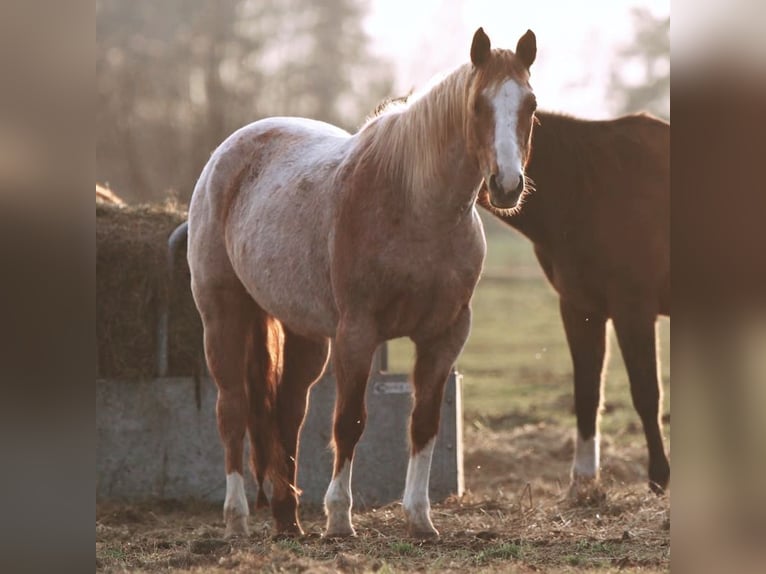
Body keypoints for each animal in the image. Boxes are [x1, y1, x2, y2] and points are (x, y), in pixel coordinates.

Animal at [187, 27, 539, 538]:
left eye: (530, 104)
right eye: (478, 105)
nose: (507, 185)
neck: (416, 207)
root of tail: (226, 153)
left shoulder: (445, 335)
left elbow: (424, 422)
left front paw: (420, 518)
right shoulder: (358, 332)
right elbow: (349, 421)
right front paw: (339, 518)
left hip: (305, 333)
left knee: (287, 413)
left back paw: (288, 519)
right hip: (222, 316)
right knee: (231, 410)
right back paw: (237, 520)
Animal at [478, 110, 670, 494]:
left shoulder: (633, 308)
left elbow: (646, 392)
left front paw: (659, 476)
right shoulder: (581, 308)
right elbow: (587, 391)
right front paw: (582, 479)